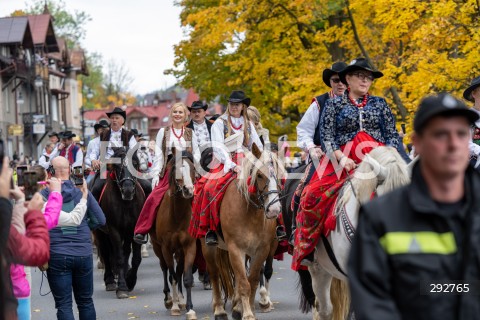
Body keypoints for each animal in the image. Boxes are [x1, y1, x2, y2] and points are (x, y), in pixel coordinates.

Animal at [93, 146, 146, 298]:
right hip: (100, 232)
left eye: (135, 163)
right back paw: (110, 281)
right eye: (116, 166)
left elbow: (134, 257)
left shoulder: (132, 229)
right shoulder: (114, 230)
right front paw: (122, 287)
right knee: (105, 252)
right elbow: (120, 257)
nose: (128, 190)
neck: (126, 203)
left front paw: (130, 281)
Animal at [148, 151, 197, 320]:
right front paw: (175, 306)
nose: (188, 190)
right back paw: (169, 299)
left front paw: (189, 308)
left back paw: (181, 300)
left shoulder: (188, 246)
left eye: (193, 169)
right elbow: (173, 276)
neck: (177, 216)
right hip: (158, 248)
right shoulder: (166, 248)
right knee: (165, 269)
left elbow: (186, 277)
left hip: (179, 250)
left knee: (180, 270)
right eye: (177, 171)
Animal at [202, 144, 284, 320]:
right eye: (259, 175)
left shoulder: (261, 250)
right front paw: (247, 314)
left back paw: (237, 307)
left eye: (279, 175)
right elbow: (243, 282)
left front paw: (248, 309)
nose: (274, 209)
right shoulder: (235, 249)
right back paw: (219, 310)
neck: (249, 212)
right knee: (214, 274)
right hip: (208, 247)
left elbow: (251, 280)